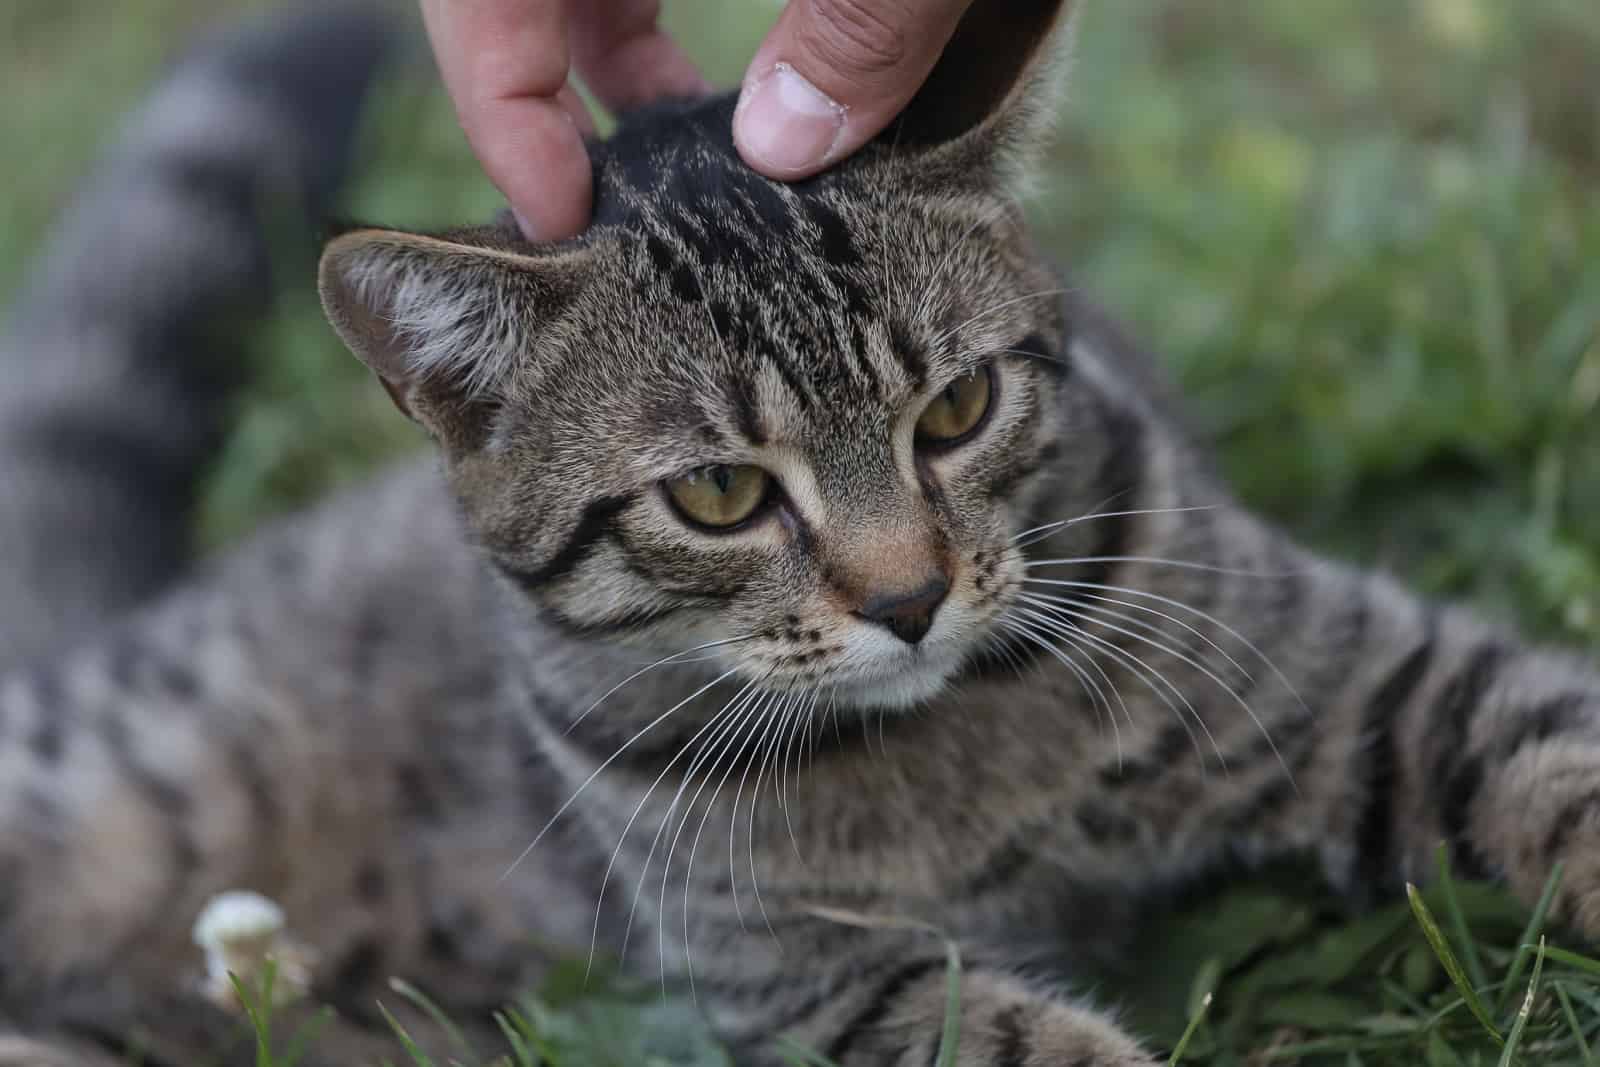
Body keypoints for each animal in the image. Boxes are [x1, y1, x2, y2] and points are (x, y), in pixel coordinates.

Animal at [3, 2, 1600, 1067]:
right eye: (719, 494)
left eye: (956, 407)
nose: (910, 598)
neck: (964, 749)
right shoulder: (818, 989)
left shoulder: (1368, 676)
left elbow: (1559, 760)